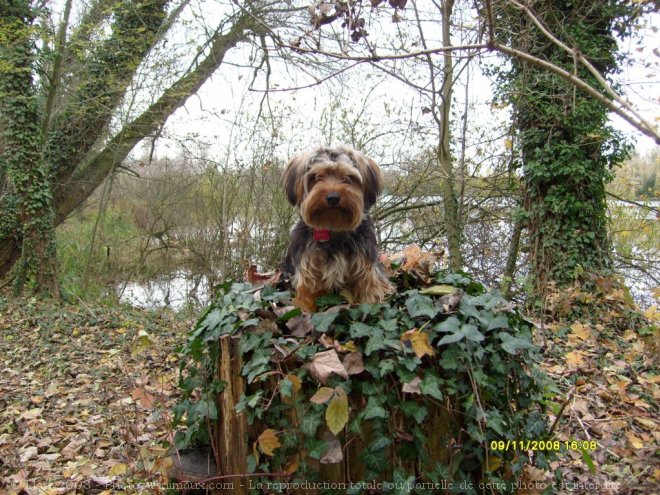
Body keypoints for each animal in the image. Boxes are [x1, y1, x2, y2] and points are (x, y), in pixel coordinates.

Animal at [280, 145, 392, 312]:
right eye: (317, 177)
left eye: (348, 178)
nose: (333, 197)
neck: (333, 228)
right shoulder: (308, 270)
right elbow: (307, 296)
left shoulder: (366, 266)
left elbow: (370, 291)